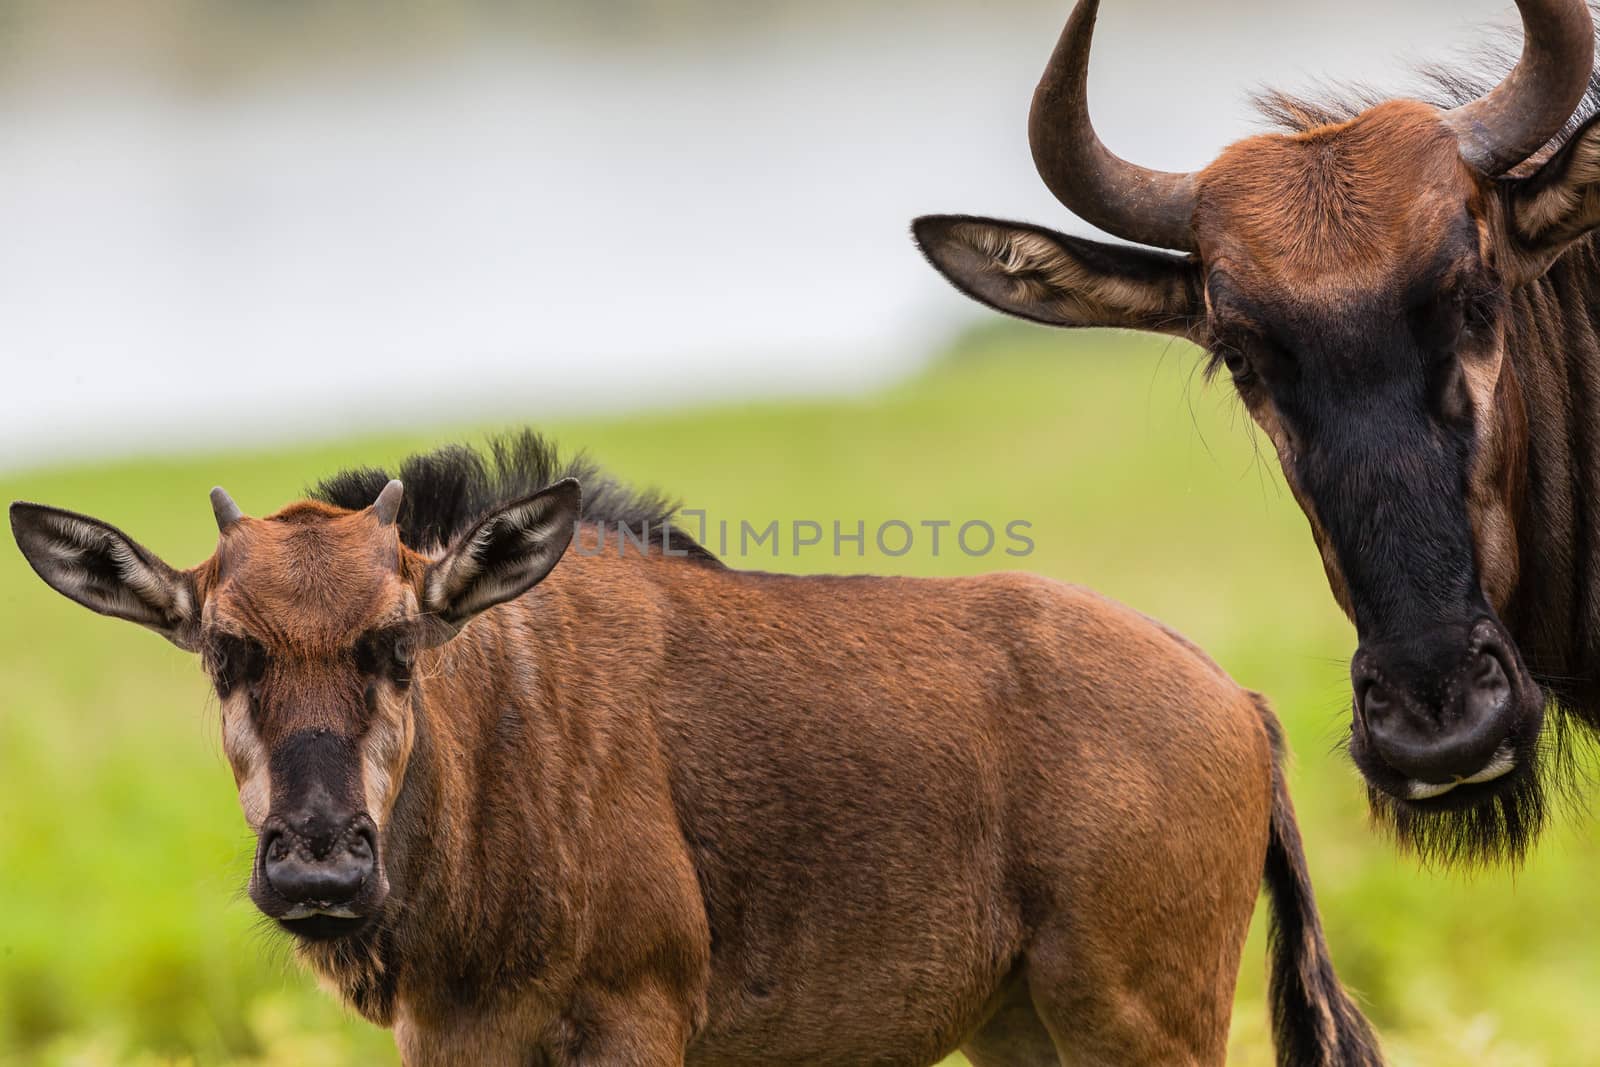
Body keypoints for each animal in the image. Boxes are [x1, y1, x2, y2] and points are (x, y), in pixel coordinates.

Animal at [9, 435, 1376, 1067]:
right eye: (223, 650)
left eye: (397, 640)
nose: (318, 871)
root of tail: (1237, 701)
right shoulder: (452, 1039)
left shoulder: (637, 1017)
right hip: (1028, 1027)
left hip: (1145, 1016)